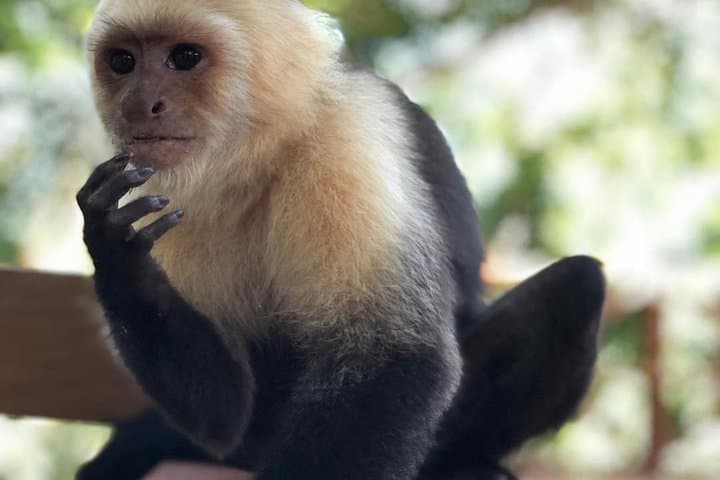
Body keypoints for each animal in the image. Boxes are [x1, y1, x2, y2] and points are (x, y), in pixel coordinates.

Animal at [75, 1, 605, 479]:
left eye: (185, 57)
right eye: (123, 61)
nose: (137, 106)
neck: (260, 153)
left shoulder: (346, 139)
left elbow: (391, 357)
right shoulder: (166, 186)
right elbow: (224, 415)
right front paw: (118, 255)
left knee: (577, 286)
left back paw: (459, 465)